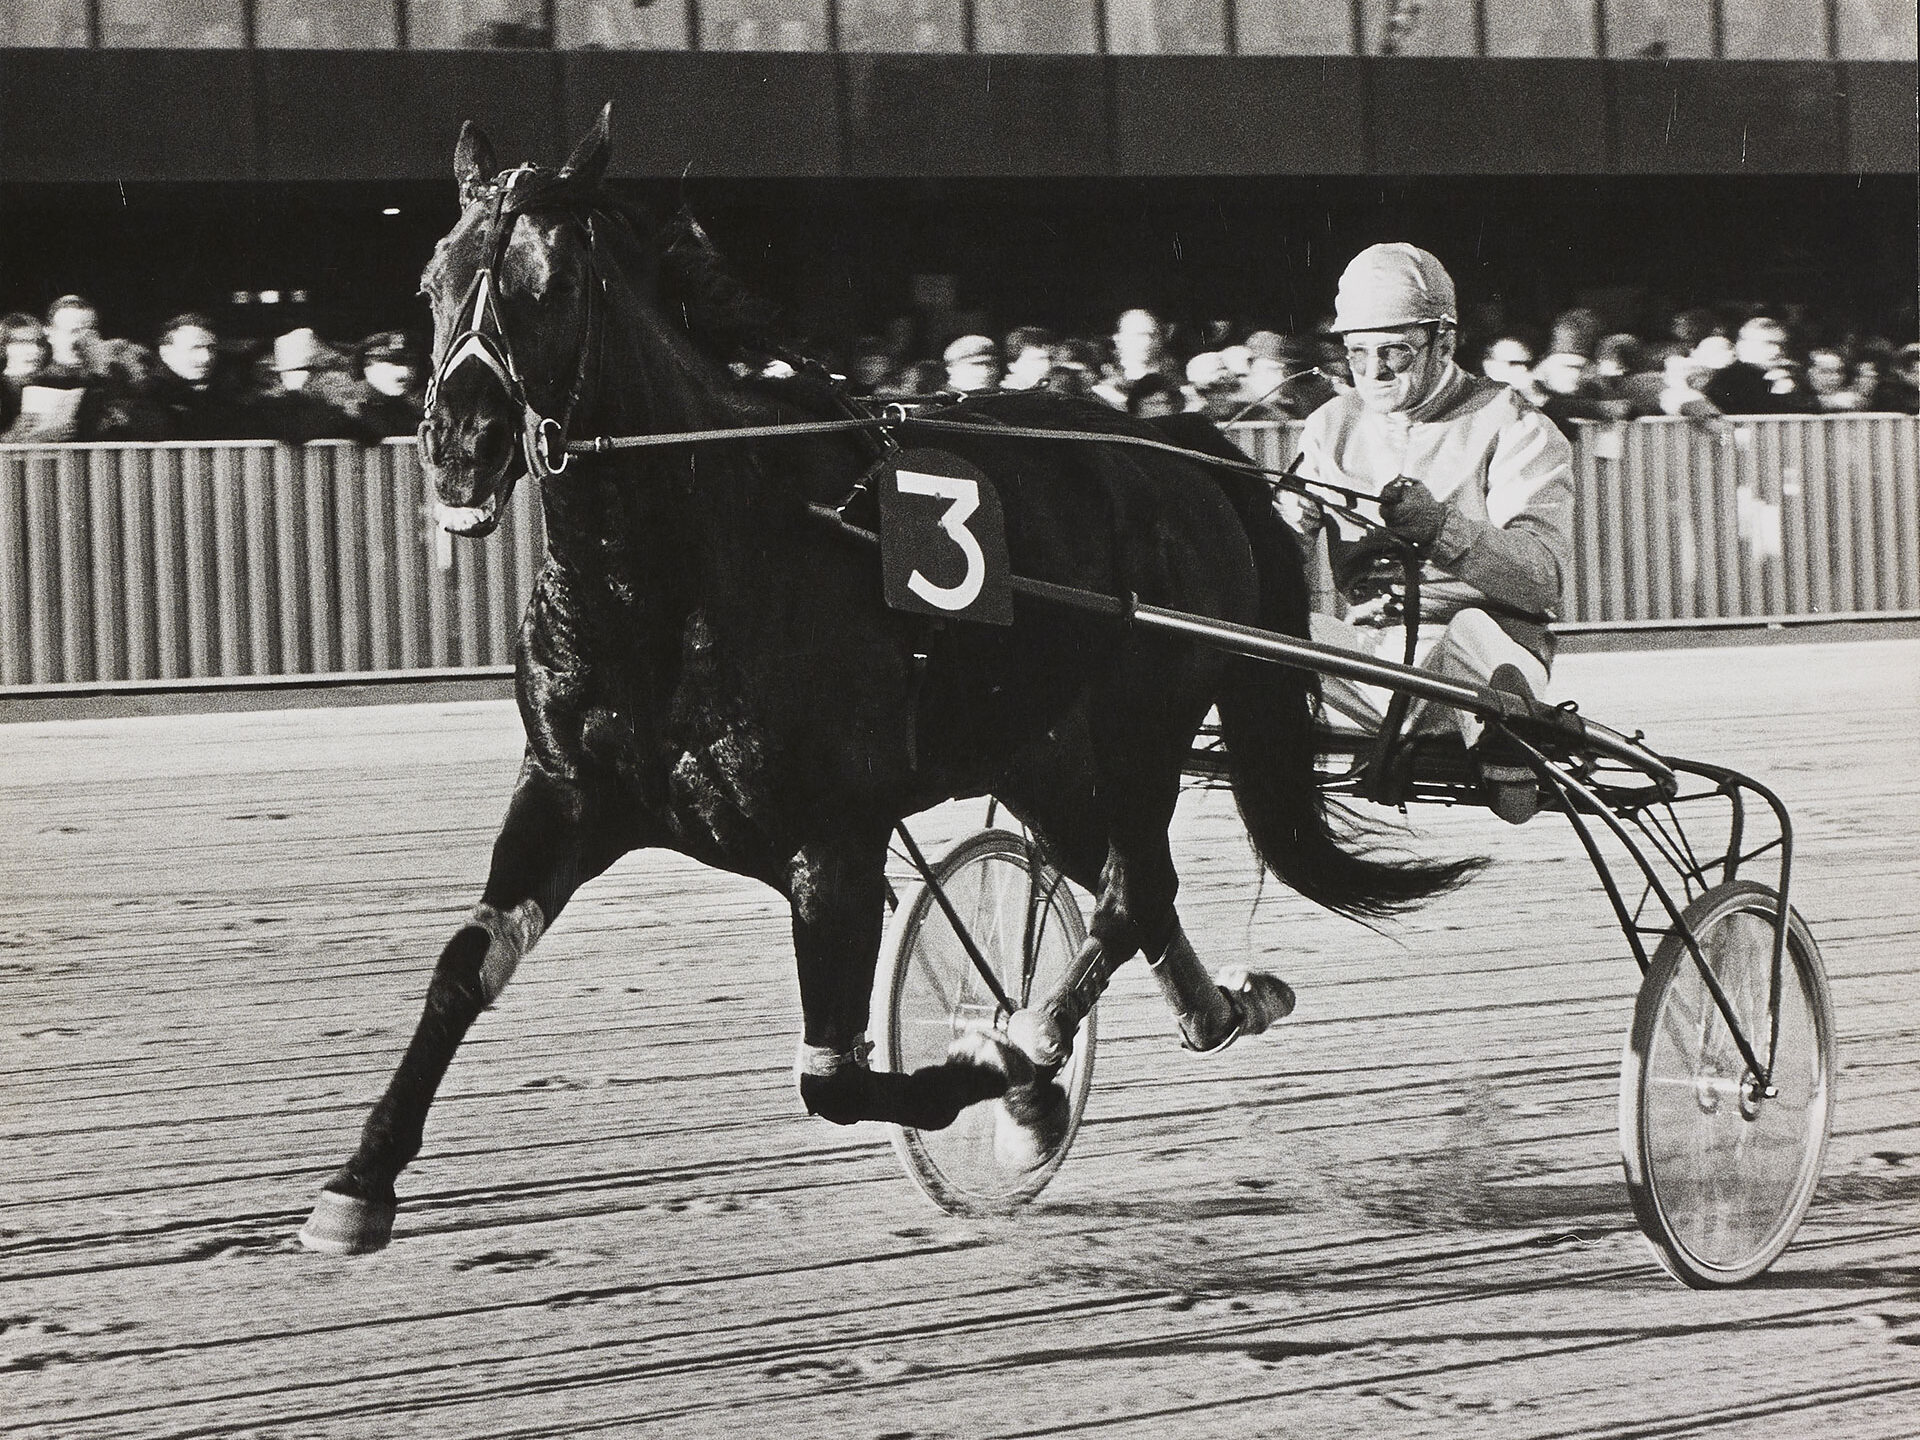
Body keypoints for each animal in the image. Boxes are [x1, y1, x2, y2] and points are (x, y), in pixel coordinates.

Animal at [299, 107, 1474, 1259]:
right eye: (434, 278)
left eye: (551, 284)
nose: (460, 444)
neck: (683, 569)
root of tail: (1179, 445)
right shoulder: (566, 792)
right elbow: (464, 966)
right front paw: (358, 1182)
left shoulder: (836, 842)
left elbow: (835, 1079)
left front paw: (997, 1073)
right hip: (1045, 756)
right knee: (1124, 885)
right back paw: (1209, 1010)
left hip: (1144, 723)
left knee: (1131, 891)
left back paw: (1035, 1039)